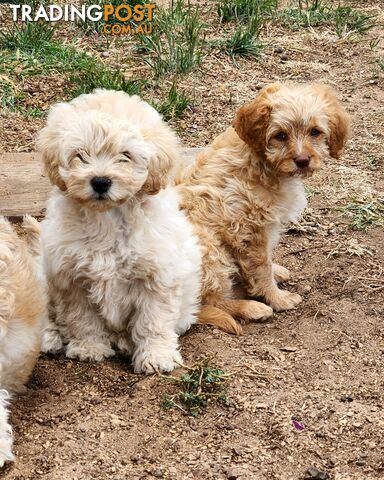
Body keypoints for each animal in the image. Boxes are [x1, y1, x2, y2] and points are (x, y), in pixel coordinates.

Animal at [38, 89, 202, 376]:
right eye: (80, 155)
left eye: (125, 155)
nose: (100, 181)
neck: (108, 217)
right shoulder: (71, 276)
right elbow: (82, 317)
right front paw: (89, 348)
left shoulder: (157, 275)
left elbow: (153, 321)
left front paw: (156, 356)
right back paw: (50, 337)